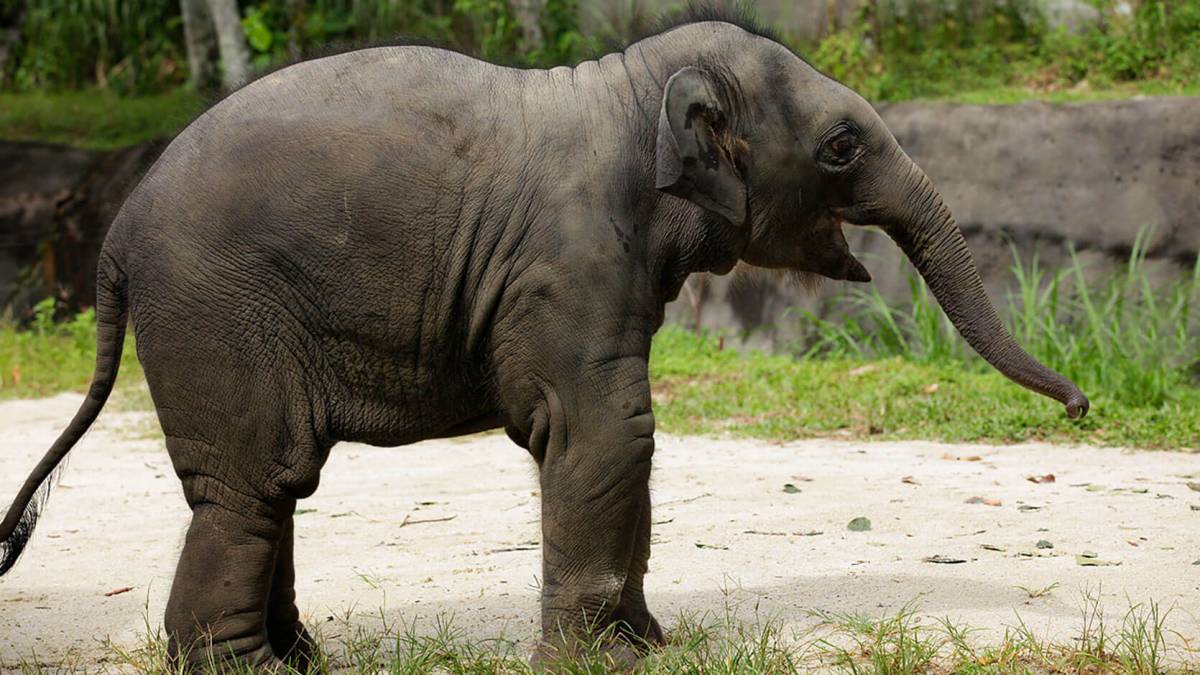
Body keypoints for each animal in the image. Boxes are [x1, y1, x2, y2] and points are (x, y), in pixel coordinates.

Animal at [0, 6, 1089, 669]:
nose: (1082, 405)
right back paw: (253, 669)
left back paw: (301, 660)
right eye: (841, 146)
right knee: (251, 485)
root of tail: (118, 231)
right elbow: (605, 429)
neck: (634, 86)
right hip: (214, 309)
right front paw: (599, 663)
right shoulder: (572, 260)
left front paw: (649, 648)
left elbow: (620, 437)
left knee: (271, 488)